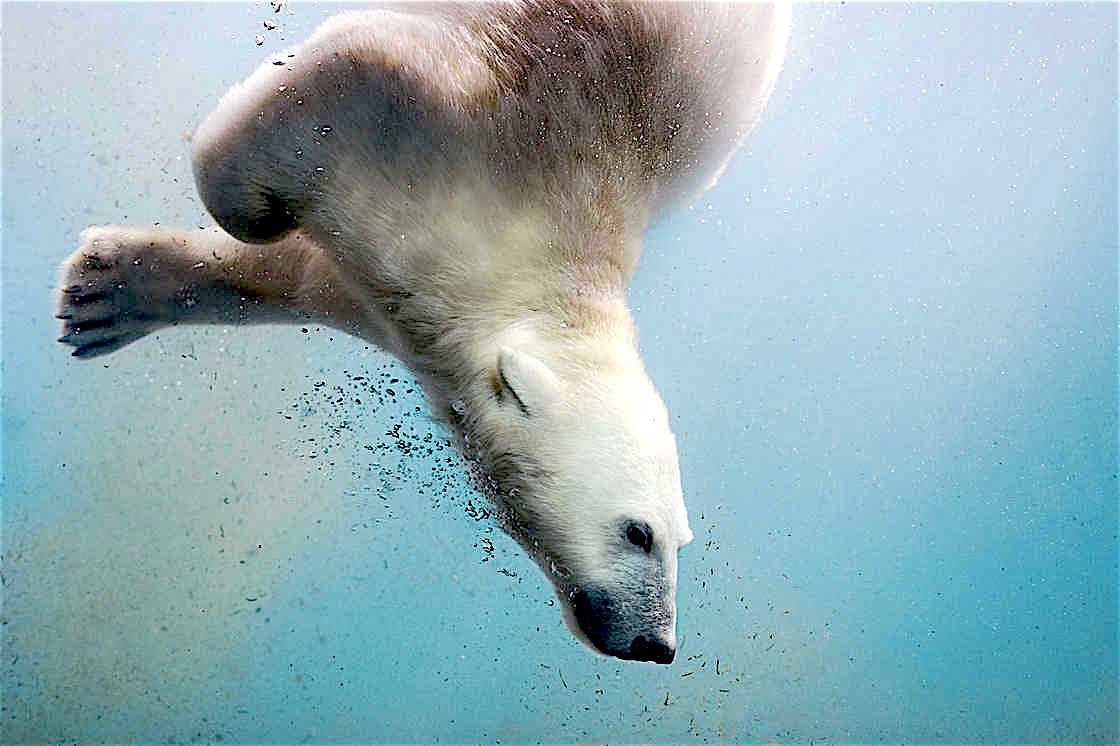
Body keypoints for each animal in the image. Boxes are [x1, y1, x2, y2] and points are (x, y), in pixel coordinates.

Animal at [56, 1, 790, 663]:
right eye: (638, 533)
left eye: (681, 540)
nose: (657, 646)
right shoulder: (485, 118)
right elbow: (351, 68)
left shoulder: (404, 290)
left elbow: (298, 276)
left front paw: (104, 294)